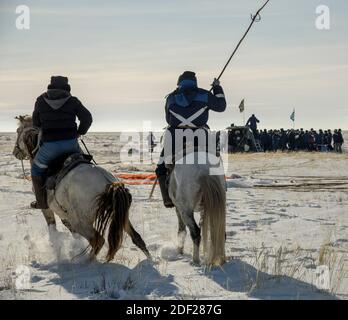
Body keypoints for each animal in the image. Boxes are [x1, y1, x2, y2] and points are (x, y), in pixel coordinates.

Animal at [12, 116, 150, 262]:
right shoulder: (64, 215)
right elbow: (74, 235)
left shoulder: (48, 209)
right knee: (136, 237)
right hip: (120, 216)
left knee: (98, 241)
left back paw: (86, 262)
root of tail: (108, 182)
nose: (15, 152)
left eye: (18, 130)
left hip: (82, 223)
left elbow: (52, 229)